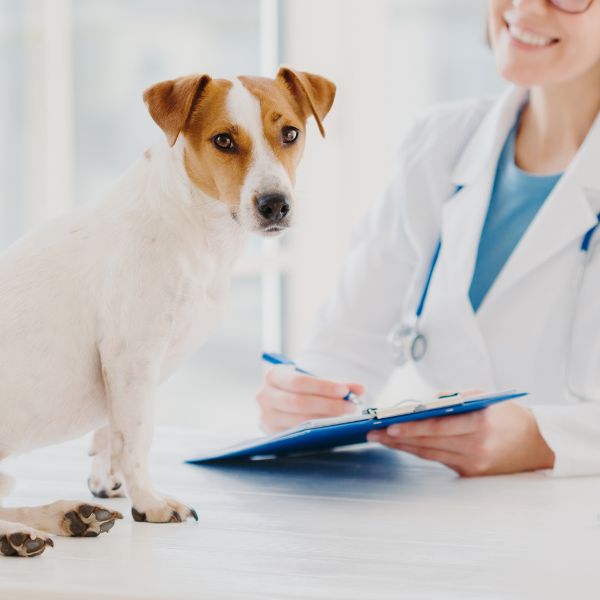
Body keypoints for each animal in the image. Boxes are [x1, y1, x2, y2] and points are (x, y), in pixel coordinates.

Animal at [0, 68, 338, 556]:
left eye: (290, 133)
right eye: (223, 140)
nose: (275, 204)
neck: (191, 225)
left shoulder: (122, 372)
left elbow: (113, 430)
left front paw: (107, 478)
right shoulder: (133, 357)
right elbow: (137, 437)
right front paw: (149, 502)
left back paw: (66, 517)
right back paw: (21, 532)